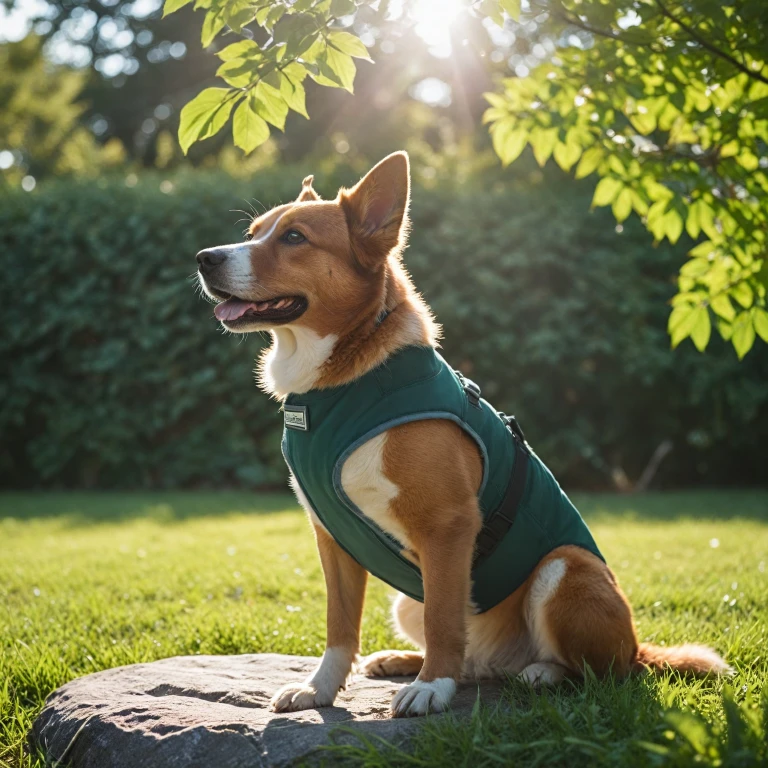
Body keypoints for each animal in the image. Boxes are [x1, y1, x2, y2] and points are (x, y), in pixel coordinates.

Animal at [196, 152, 732, 720]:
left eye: (295, 237)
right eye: (252, 233)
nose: (205, 257)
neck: (337, 386)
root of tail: (637, 645)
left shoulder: (448, 525)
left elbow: (443, 620)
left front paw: (433, 687)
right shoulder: (332, 537)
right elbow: (340, 626)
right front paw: (320, 688)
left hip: (567, 568)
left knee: (603, 671)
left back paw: (538, 672)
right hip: (408, 599)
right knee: (471, 658)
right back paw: (402, 662)